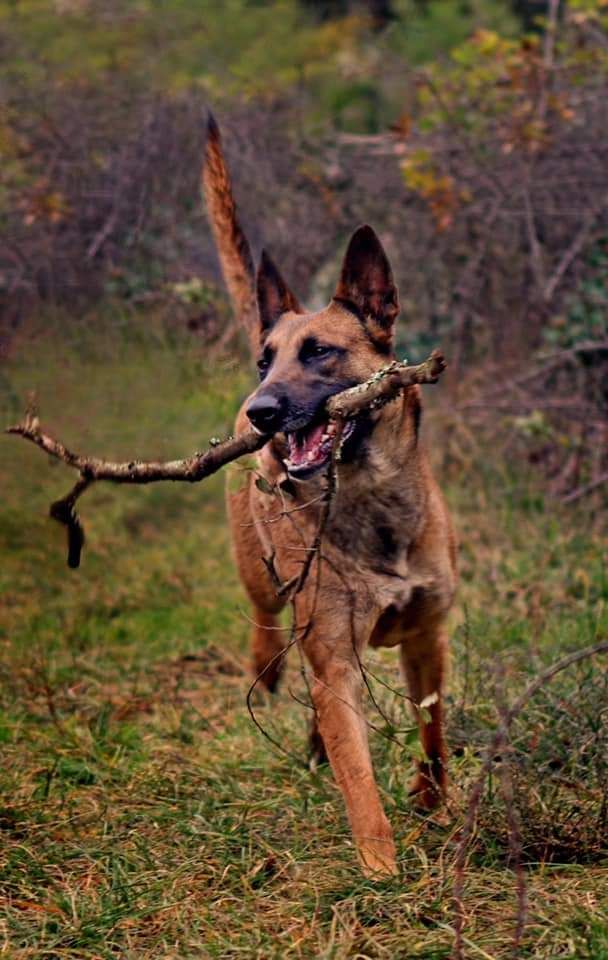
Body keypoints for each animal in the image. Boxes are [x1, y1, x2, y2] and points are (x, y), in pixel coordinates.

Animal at [204, 116, 456, 872]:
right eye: (267, 359)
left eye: (320, 352)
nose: (261, 413)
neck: (372, 502)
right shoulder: (338, 664)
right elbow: (359, 779)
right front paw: (380, 870)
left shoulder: (427, 637)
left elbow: (433, 729)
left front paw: (434, 803)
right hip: (262, 587)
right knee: (269, 639)